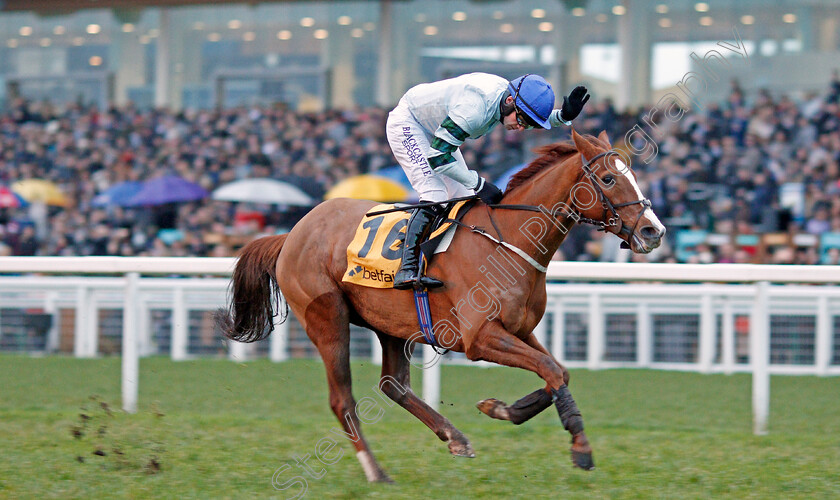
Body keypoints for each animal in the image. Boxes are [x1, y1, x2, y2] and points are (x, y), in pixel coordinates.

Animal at [220, 131, 668, 482]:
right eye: (608, 178)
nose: (654, 231)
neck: (509, 241)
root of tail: (291, 233)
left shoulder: (520, 330)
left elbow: (558, 371)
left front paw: (500, 409)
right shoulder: (479, 337)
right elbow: (552, 370)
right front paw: (581, 447)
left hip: (391, 324)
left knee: (393, 385)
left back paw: (454, 437)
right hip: (327, 318)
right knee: (342, 399)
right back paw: (376, 472)